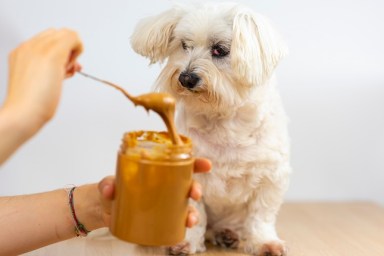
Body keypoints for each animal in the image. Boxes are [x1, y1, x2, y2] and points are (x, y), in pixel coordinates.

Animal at [131, 2, 292, 256]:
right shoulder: (191, 175)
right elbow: (195, 215)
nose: (186, 78)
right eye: (184, 45)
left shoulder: (271, 177)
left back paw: (227, 234)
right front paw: (187, 242)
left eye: (219, 50)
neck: (223, 118)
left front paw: (264, 242)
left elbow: (261, 216)